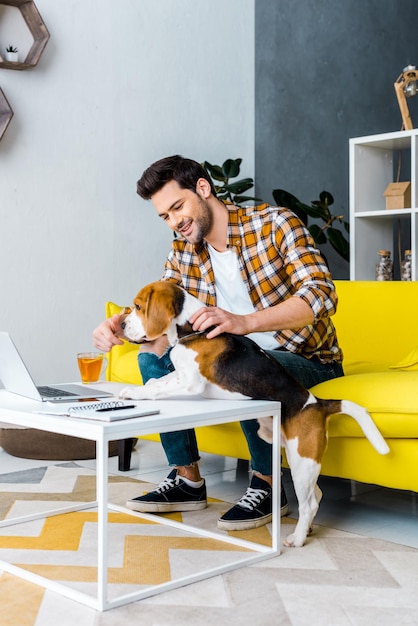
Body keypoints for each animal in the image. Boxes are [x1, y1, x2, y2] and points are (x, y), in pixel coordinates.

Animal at [116, 280, 388, 544]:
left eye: (138, 307)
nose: (120, 324)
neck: (192, 330)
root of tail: (317, 403)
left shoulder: (190, 382)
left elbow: (157, 387)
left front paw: (132, 393)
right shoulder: (180, 375)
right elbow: (158, 381)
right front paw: (141, 387)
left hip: (302, 459)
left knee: (309, 503)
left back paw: (297, 538)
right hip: (292, 453)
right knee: (317, 494)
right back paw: (307, 529)